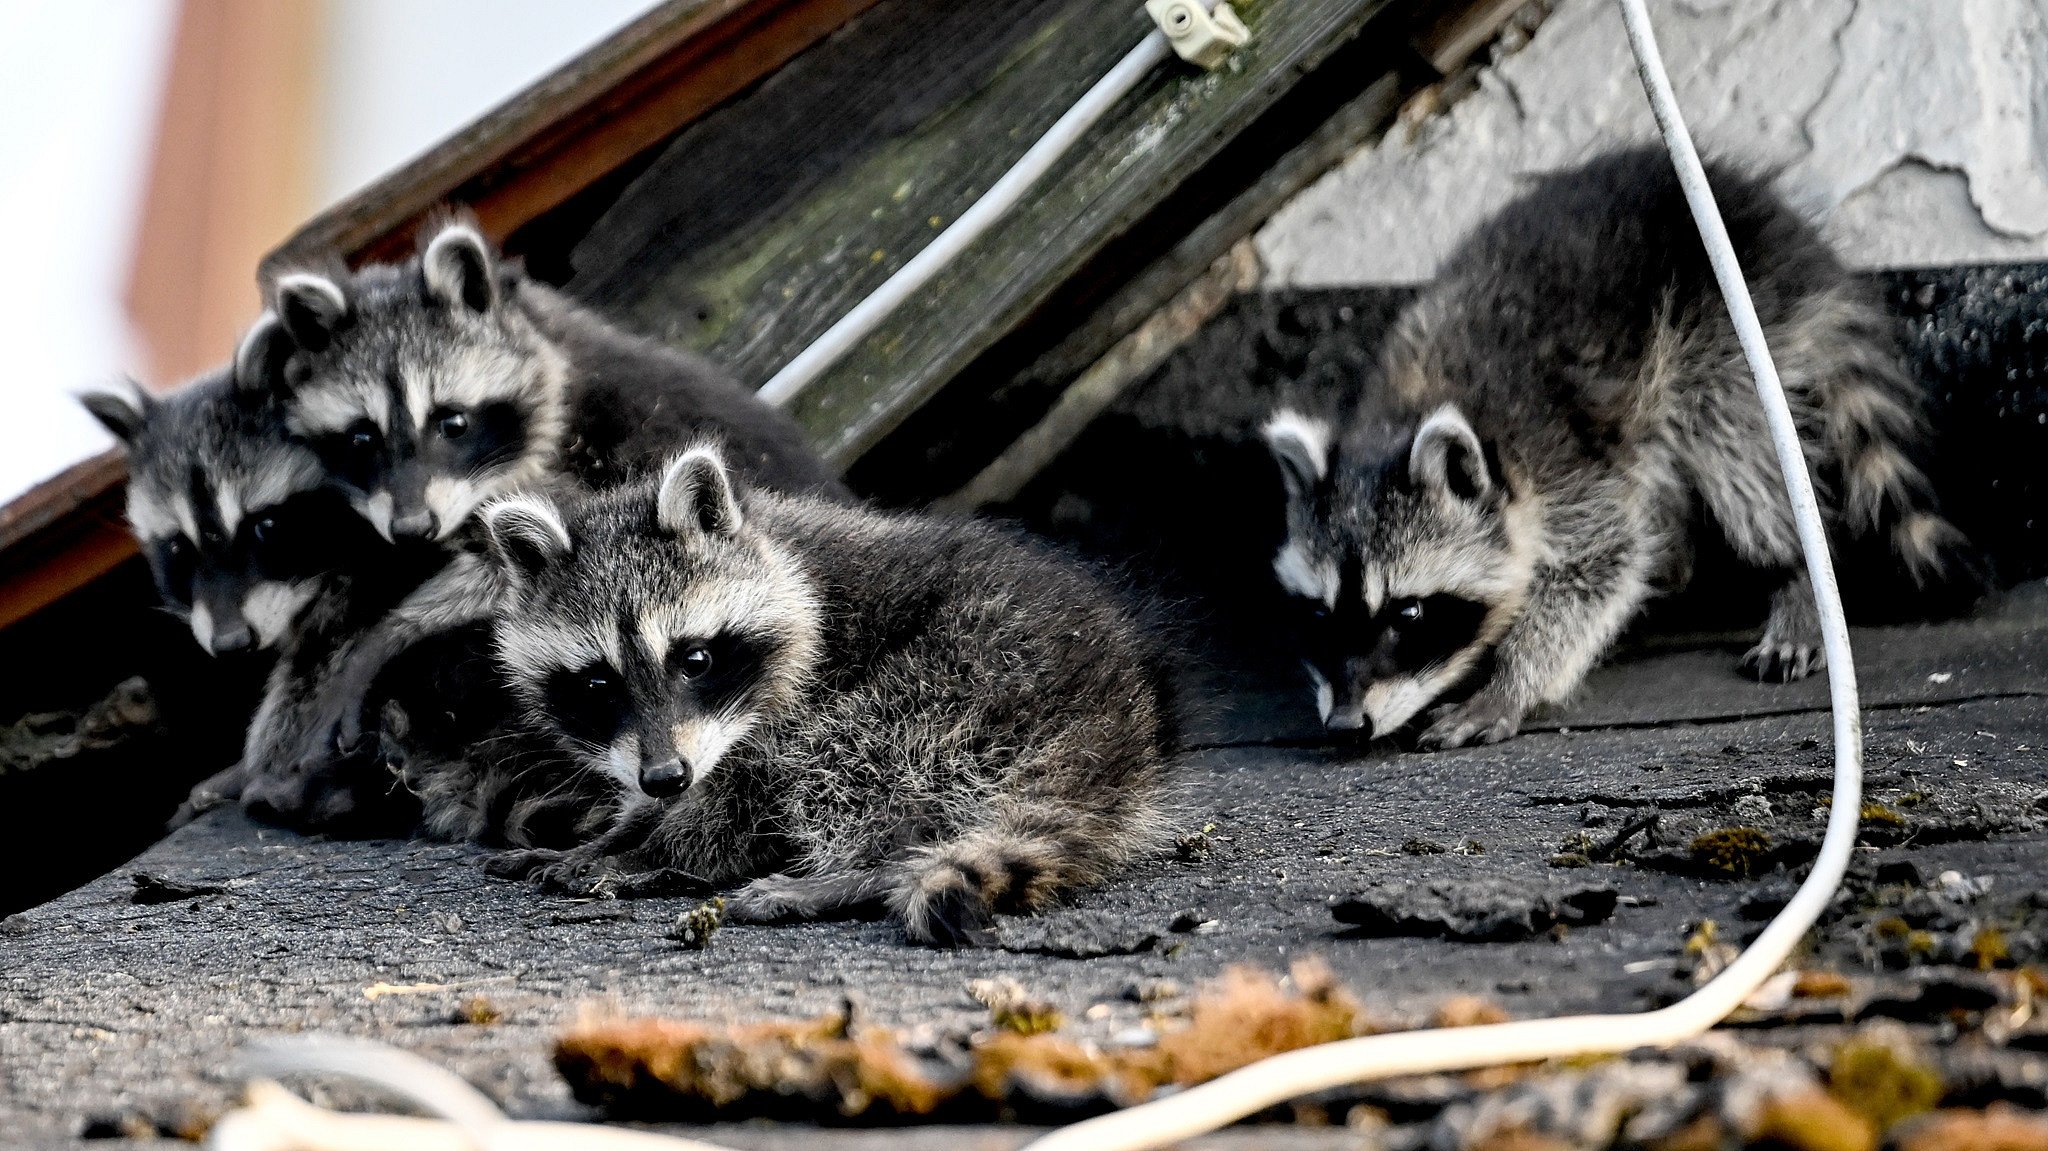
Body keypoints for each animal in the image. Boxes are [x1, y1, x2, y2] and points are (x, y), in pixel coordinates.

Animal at [479, 444, 1179, 938]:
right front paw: (613, 835)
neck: (779, 554)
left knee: (854, 764)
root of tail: (1112, 726)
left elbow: (735, 811)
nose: (664, 778)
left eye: (695, 658)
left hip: (967, 680)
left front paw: (640, 853)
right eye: (598, 683)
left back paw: (859, 873)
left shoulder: (797, 704)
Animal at [1261, 147, 1966, 749]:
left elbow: (1599, 564)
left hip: (1724, 333)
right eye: (1319, 614)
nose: (1346, 725)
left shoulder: (1563, 462)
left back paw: (1791, 568)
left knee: (1736, 451)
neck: (1412, 405)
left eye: (1409, 612)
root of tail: (1779, 225)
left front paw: (1512, 681)